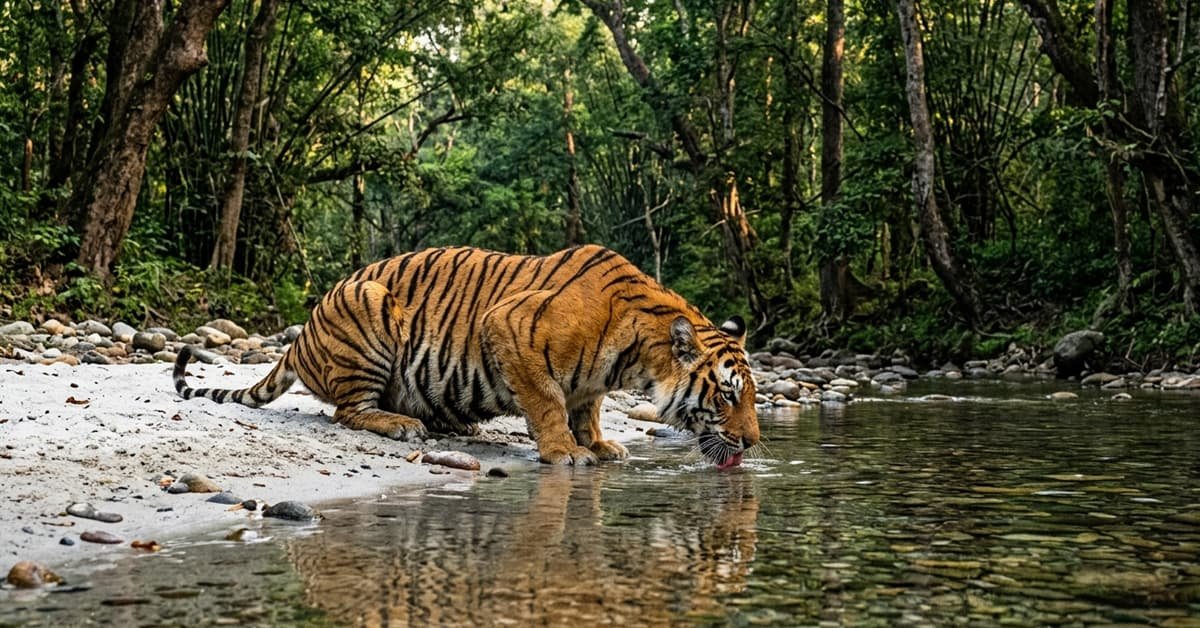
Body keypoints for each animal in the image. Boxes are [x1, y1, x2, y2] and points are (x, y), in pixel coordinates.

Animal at [173, 245, 759, 468]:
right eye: (727, 396)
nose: (754, 443)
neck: (637, 359)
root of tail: (301, 334)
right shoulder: (509, 327)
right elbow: (548, 403)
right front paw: (566, 452)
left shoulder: (591, 383)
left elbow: (585, 408)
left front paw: (598, 443)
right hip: (369, 305)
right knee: (347, 411)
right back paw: (402, 425)